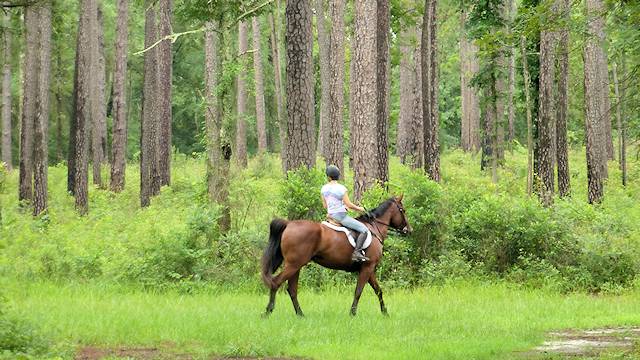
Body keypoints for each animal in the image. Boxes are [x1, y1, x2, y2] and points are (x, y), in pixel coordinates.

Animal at [262, 195, 412, 316]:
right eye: (403, 210)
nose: (409, 230)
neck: (374, 228)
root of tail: (289, 224)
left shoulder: (369, 269)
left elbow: (378, 290)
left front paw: (385, 312)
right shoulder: (368, 267)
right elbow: (358, 291)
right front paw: (352, 313)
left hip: (296, 266)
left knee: (292, 290)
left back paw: (300, 314)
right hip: (294, 265)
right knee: (276, 283)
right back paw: (268, 311)